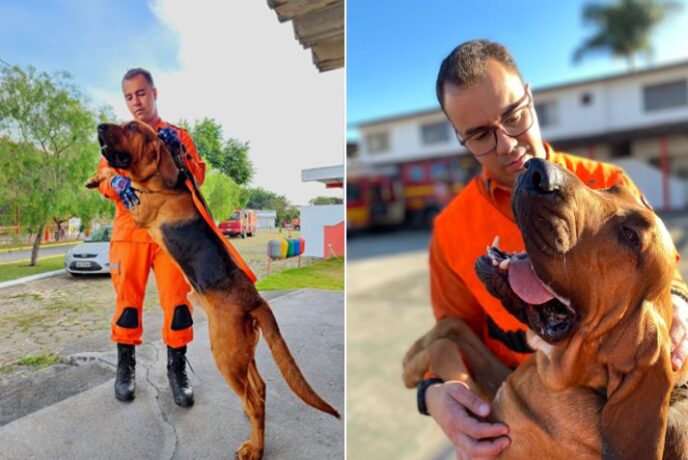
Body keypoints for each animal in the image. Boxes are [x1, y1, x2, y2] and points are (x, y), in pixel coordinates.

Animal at [87, 121, 340, 460]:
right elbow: (115, 176)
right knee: (260, 388)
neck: (165, 182)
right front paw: (96, 177)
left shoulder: (141, 209)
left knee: (255, 398)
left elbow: (122, 181)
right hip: (242, 353)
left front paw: (109, 179)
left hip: (225, 355)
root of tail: (255, 300)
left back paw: (254, 449)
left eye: (131, 127)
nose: (100, 125)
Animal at [404, 159, 688, 460]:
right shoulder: (503, 383)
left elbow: (444, 350)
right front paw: (411, 360)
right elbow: (453, 328)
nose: (537, 170)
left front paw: (409, 371)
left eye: (631, 236)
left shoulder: (489, 429)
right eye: (611, 188)